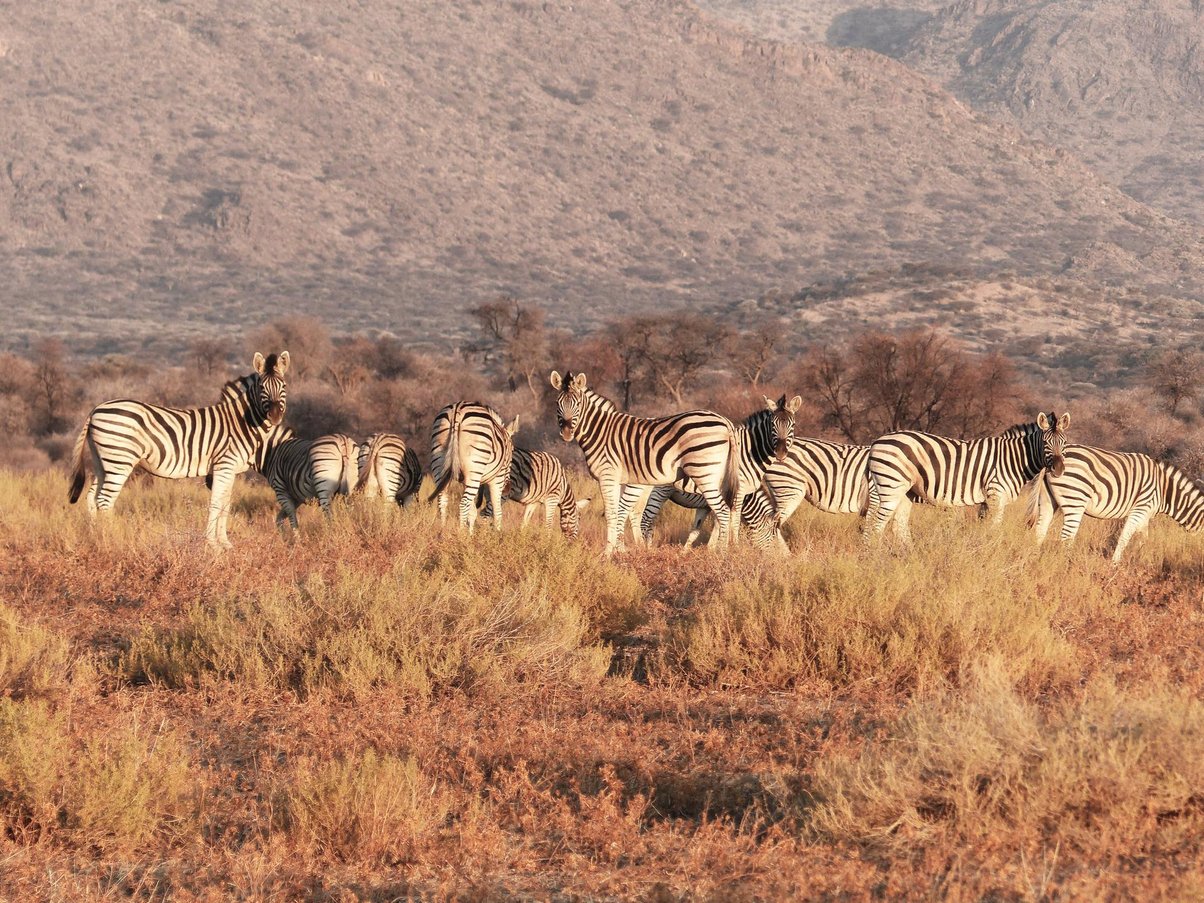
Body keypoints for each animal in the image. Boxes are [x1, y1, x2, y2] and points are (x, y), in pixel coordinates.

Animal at [428, 402, 512, 534]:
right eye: (513, 451)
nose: (508, 488)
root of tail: (457, 409)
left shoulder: (465, 481)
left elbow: (472, 512)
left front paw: (471, 535)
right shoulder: (497, 479)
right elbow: (497, 510)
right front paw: (497, 534)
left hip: (439, 460)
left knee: (442, 499)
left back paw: (442, 532)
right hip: (475, 468)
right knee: (463, 504)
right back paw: (461, 535)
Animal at [549, 370, 736, 556]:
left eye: (578, 404)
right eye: (558, 403)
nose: (567, 433)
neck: (600, 432)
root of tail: (725, 421)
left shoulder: (607, 476)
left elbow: (611, 513)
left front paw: (607, 553)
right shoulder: (615, 479)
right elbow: (617, 513)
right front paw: (617, 550)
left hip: (703, 473)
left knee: (723, 511)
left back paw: (722, 553)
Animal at [635, 397, 804, 551]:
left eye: (793, 425)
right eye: (772, 425)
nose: (781, 454)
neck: (749, 452)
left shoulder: (710, 502)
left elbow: (702, 529)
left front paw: (707, 551)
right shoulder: (738, 492)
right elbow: (732, 522)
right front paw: (732, 548)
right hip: (658, 489)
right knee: (643, 517)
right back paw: (644, 549)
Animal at [866, 416, 1073, 544]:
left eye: (1064, 442)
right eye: (1045, 442)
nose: (1059, 469)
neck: (1011, 458)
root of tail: (877, 441)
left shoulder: (986, 500)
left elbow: (984, 527)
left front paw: (980, 549)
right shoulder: (996, 495)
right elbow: (995, 528)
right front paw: (992, 553)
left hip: (906, 492)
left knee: (898, 526)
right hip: (891, 486)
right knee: (876, 525)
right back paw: (874, 558)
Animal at [1025, 443, 1204, 563]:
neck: (1165, 489)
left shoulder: (1145, 514)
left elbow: (1143, 538)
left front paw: (1142, 559)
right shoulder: (1140, 508)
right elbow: (1125, 537)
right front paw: (1115, 564)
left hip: (1048, 500)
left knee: (1041, 529)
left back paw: (1035, 557)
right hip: (1075, 500)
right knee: (1067, 536)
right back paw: (1065, 564)